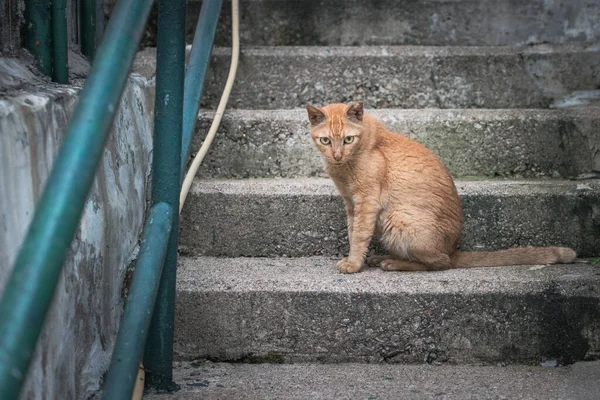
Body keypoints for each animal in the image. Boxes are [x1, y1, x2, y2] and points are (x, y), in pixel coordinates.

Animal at [308, 101, 576, 274]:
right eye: (326, 141)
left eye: (348, 139)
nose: (337, 155)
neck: (344, 168)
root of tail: (454, 247)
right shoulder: (351, 203)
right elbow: (352, 232)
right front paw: (356, 260)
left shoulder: (366, 202)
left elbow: (359, 236)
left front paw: (353, 264)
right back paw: (384, 258)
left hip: (398, 218)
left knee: (440, 263)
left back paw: (393, 264)